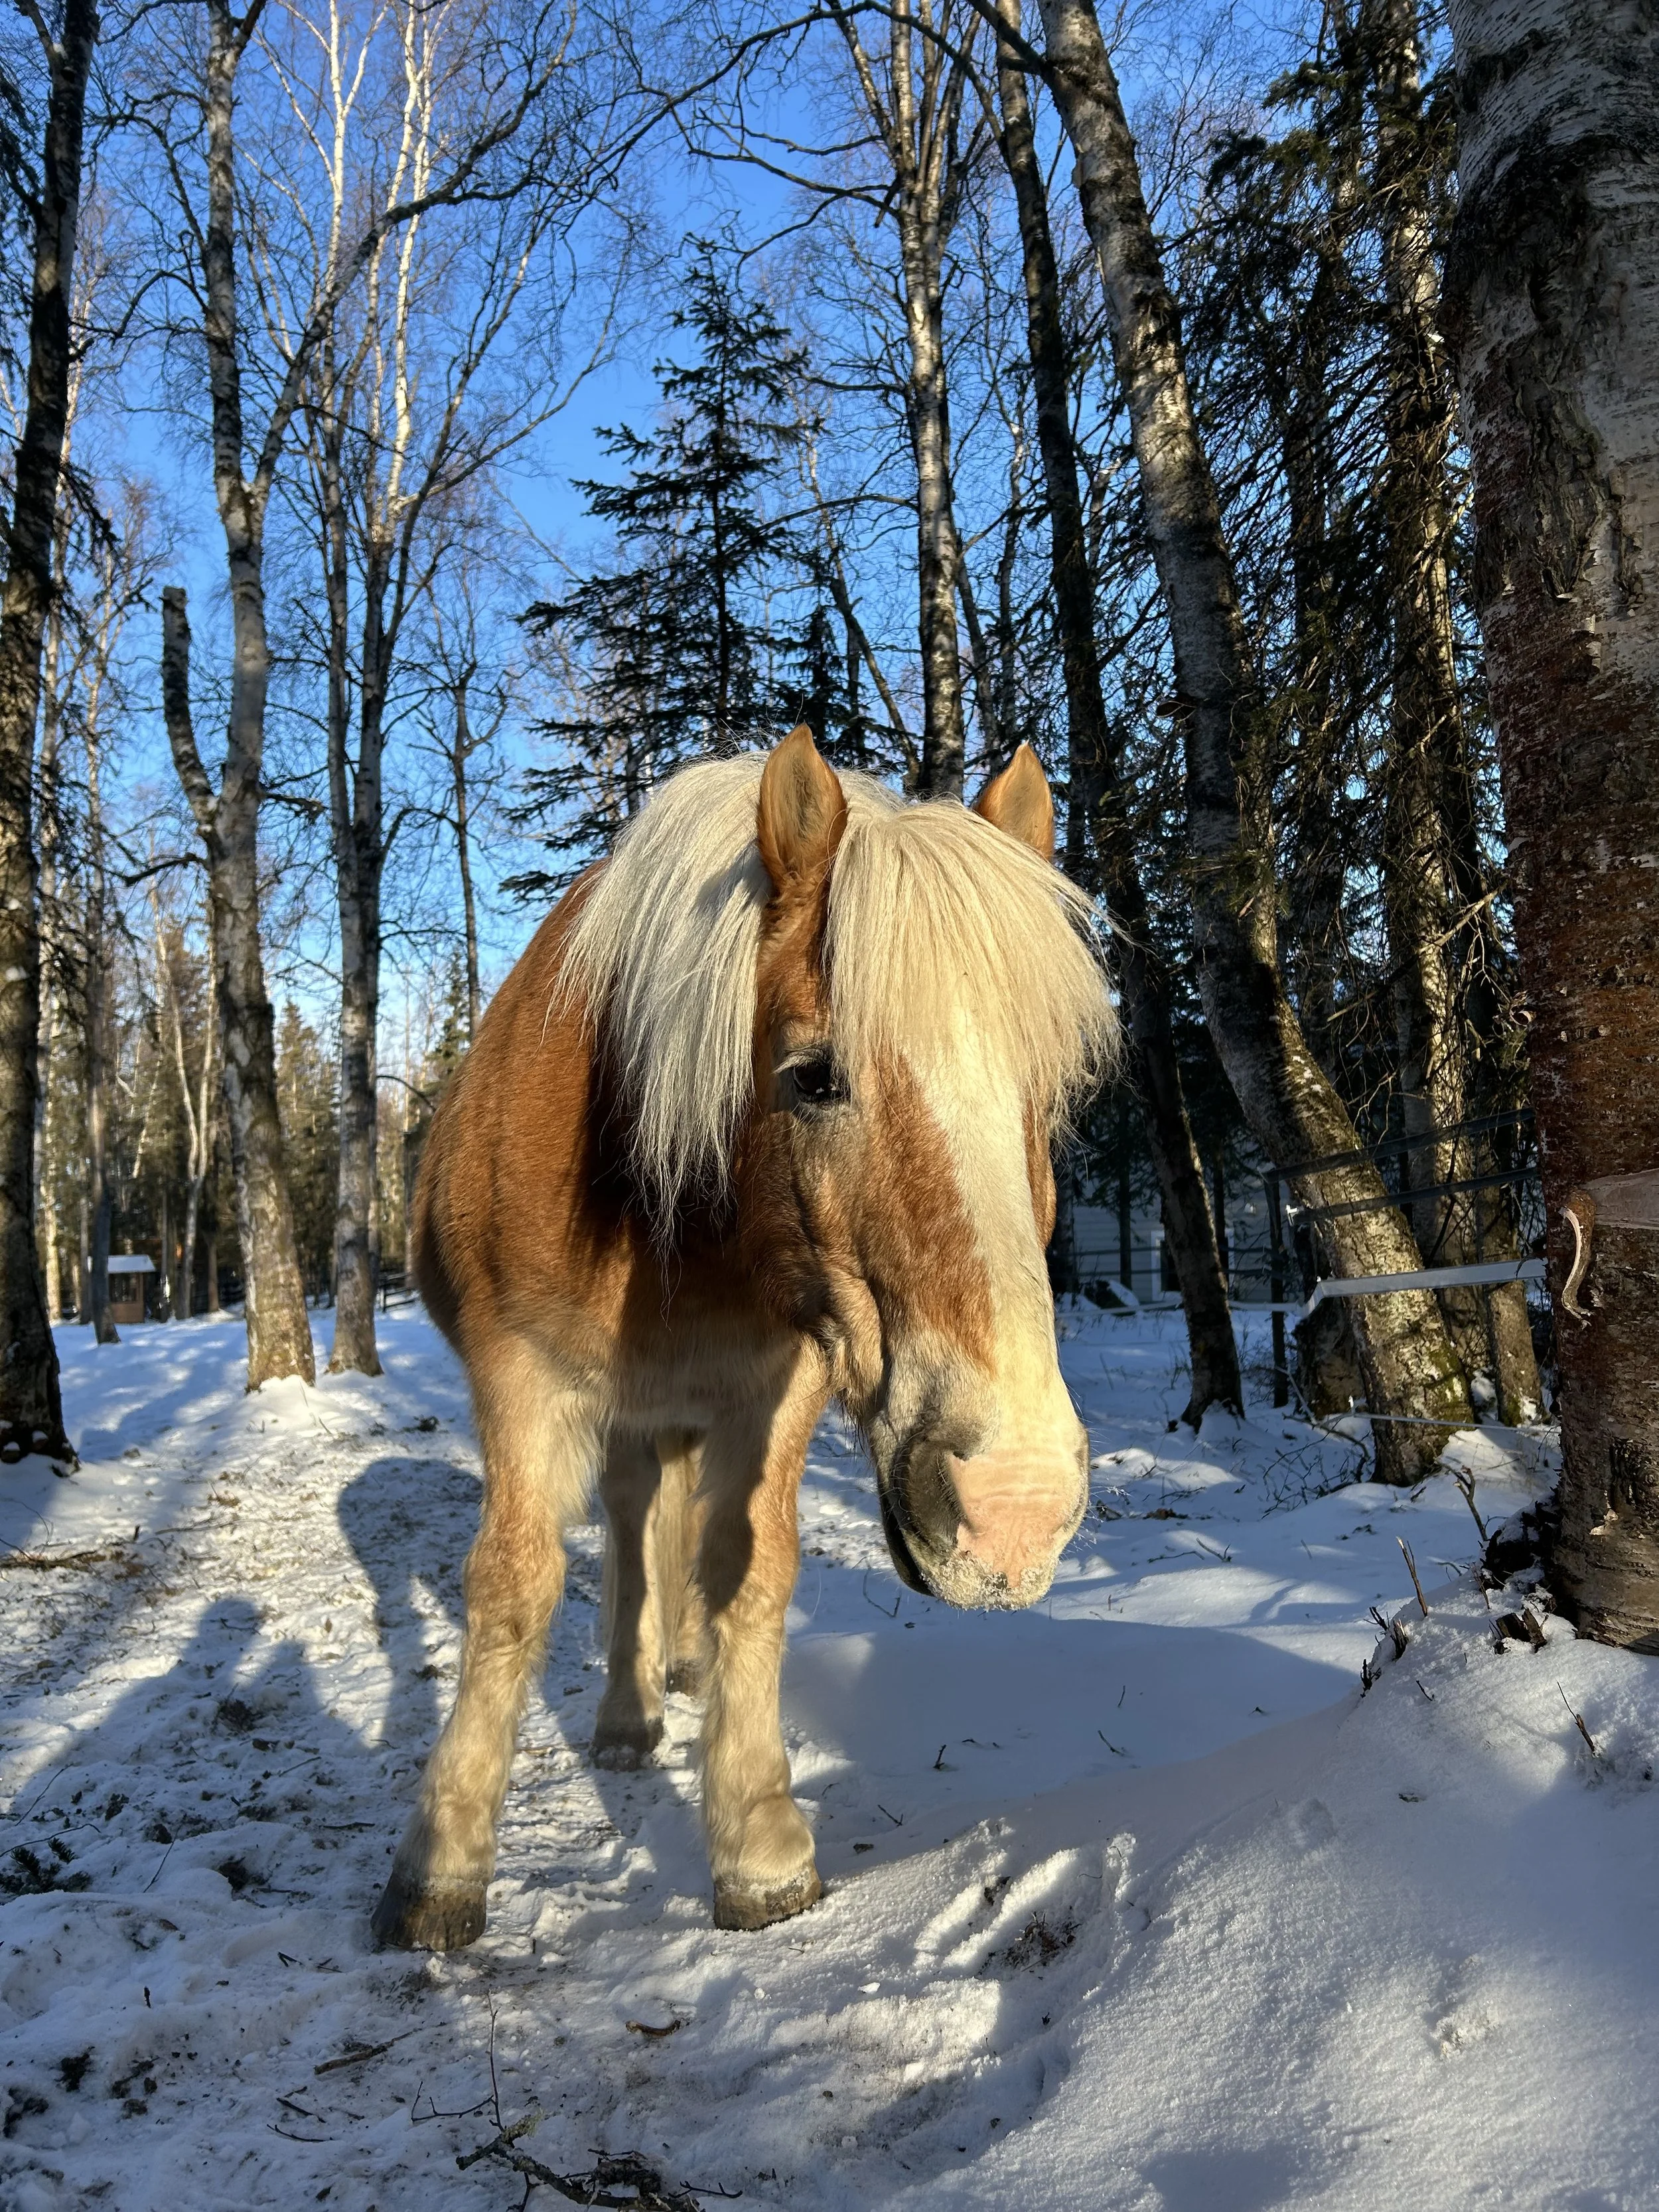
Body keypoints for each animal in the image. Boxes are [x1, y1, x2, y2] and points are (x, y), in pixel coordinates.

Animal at [371, 726, 1117, 1950]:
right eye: (812, 1076)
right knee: (631, 1522)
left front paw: (759, 1842)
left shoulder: (778, 1383)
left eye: (1048, 1095)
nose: (1013, 1509)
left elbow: (749, 1571)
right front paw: (440, 1863)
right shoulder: (523, 1379)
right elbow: (513, 1587)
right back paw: (628, 1717)